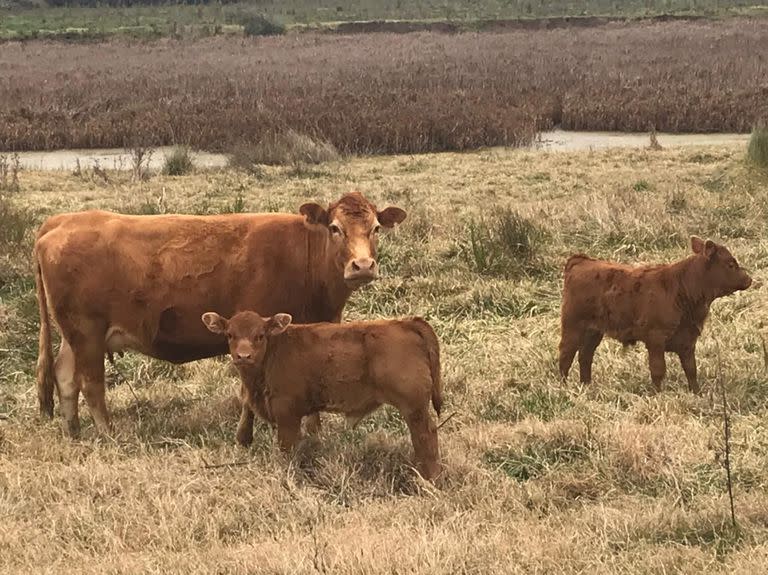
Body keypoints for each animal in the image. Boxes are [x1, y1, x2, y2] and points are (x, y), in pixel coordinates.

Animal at [34, 190, 408, 436]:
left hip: (75, 336)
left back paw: (74, 432)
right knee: (91, 385)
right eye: (335, 228)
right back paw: (109, 435)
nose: (362, 265)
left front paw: (314, 433)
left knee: (65, 377)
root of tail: (61, 221)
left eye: (376, 228)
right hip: (87, 333)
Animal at [201, 310, 444, 482]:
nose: (243, 356)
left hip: (414, 407)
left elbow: (286, 449)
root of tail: (405, 322)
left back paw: (429, 478)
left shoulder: (286, 413)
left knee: (425, 435)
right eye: (230, 335)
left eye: (259, 335)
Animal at [560, 236, 752, 394]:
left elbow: (691, 369)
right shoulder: (656, 339)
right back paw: (563, 386)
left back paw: (586, 385)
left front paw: (697, 393)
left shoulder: (688, 339)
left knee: (585, 355)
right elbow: (658, 369)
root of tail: (581, 261)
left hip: (594, 331)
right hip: (572, 327)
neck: (681, 290)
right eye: (730, 264)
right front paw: (658, 394)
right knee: (566, 354)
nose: (748, 279)